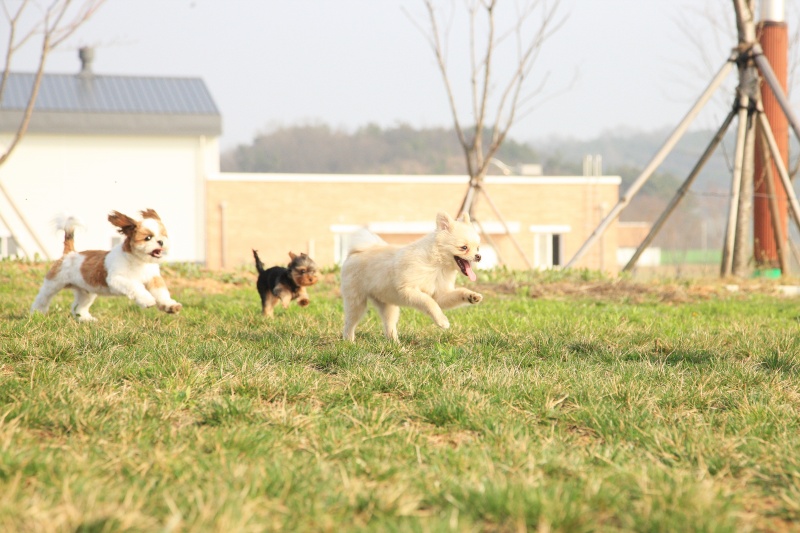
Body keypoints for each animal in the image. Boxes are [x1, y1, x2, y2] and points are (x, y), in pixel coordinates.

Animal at [30, 210, 182, 322]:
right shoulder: (117, 279)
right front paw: (148, 300)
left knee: (78, 307)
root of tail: (70, 253)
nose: (161, 241)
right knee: (43, 298)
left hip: (86, 292)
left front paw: (170, 306)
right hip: (54, 283)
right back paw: (37, 313)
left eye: (164, 235)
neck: (139, 261)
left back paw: (86, 319)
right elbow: (136, 287)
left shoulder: (153, 278)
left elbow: (161, 292)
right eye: (148, 238)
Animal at [342, 211, 484, 340]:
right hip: (356, 302)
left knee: (389, 324)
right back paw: (349, 342)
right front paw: (442, 321)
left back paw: (395, 344)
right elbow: (429, 302)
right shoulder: (408, 289)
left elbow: (455, 294)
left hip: (387, 304)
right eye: (464, 247)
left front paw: (472, 296)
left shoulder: (440, 295)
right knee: (350, 323)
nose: (479, 256)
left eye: (477, 248)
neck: (438, 265)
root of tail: (356, 252)